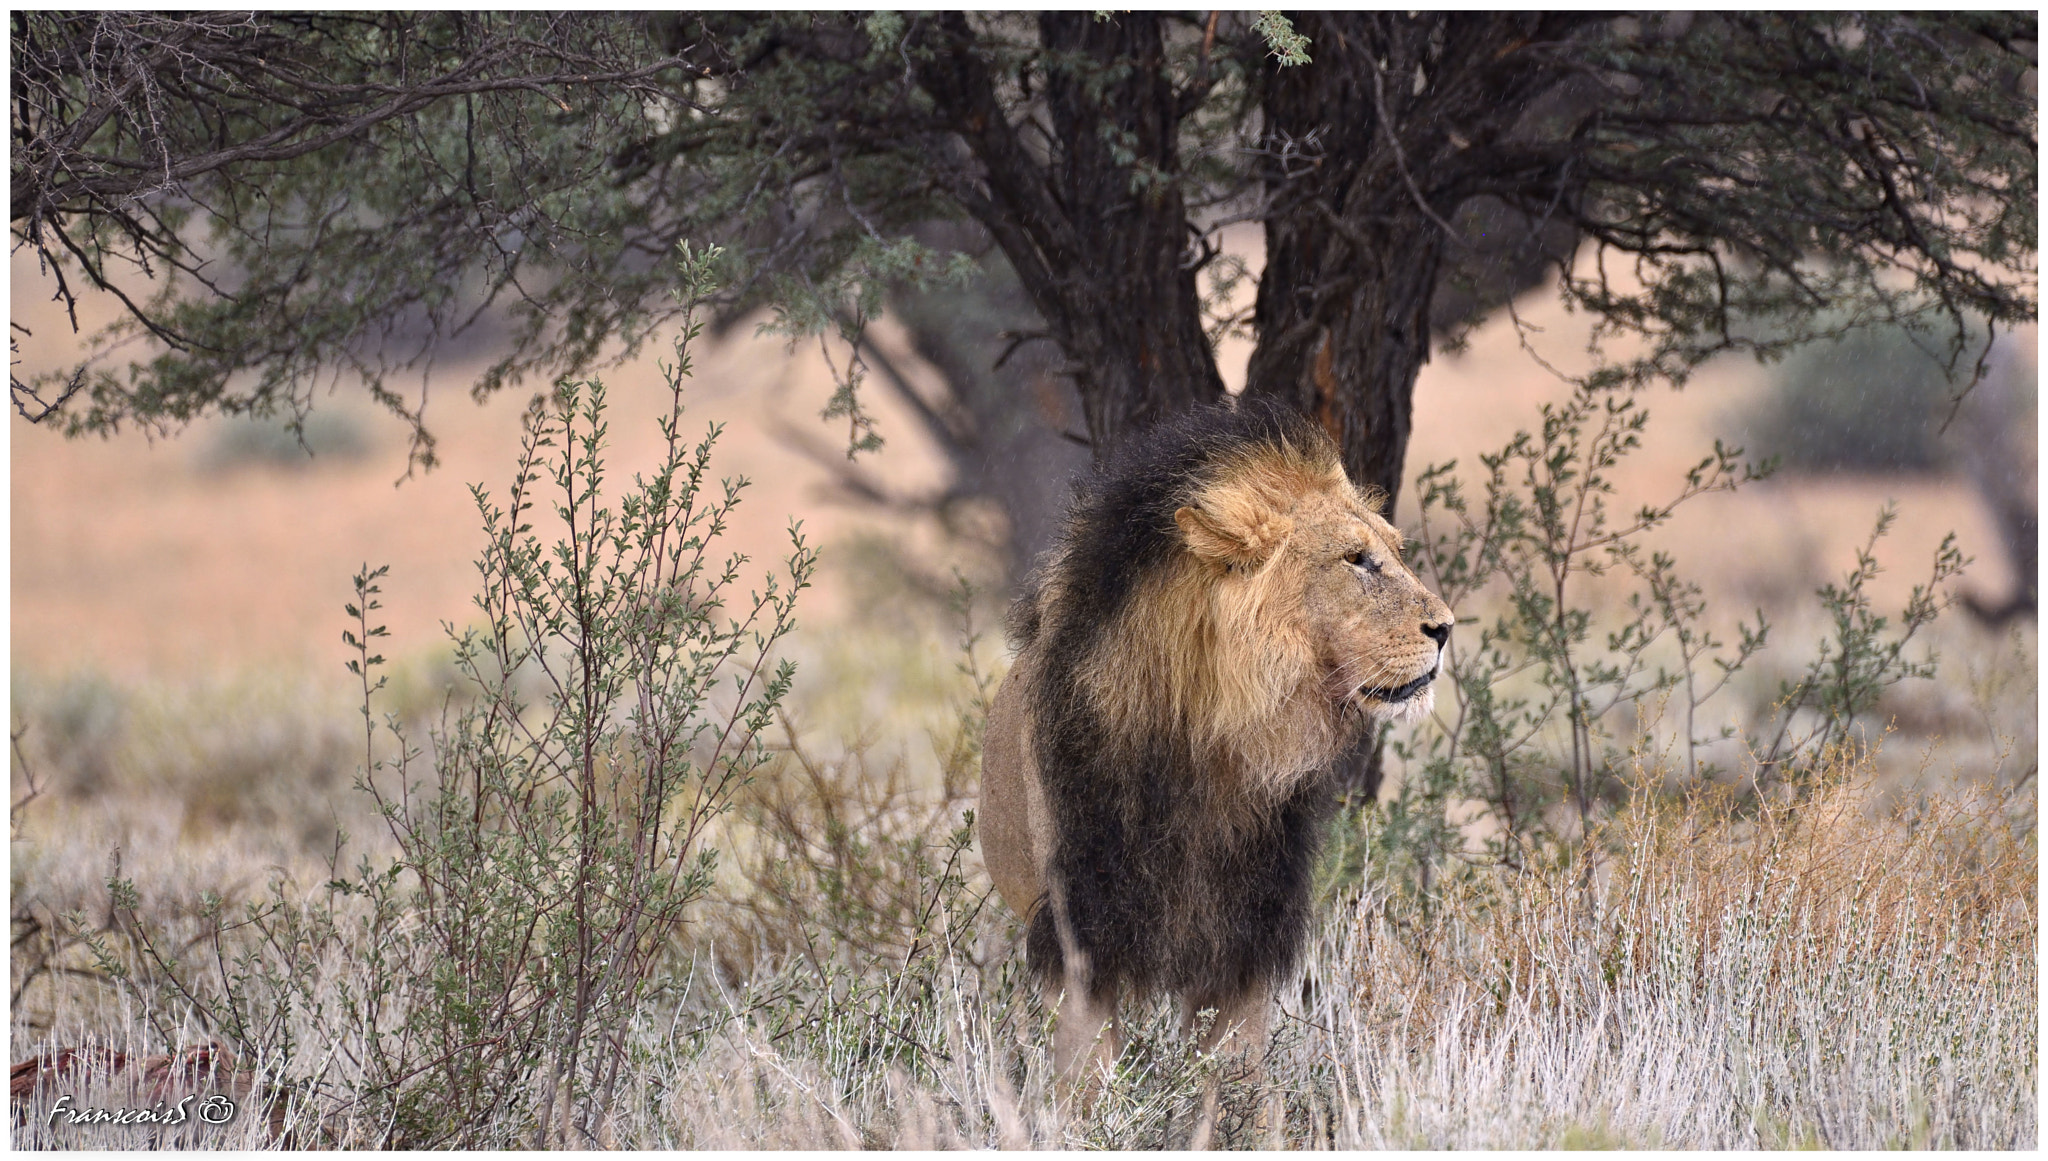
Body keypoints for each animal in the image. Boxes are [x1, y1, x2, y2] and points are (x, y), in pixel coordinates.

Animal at [978, 397, 1449, 1146]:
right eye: (1356, 561)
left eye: (1394, 553)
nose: (1447, 628)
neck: (1213, 740)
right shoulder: (1082, 931)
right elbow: (1086, 1078)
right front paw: (1089, 1130)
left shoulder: (1247, 932)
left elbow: (1237, 1076)